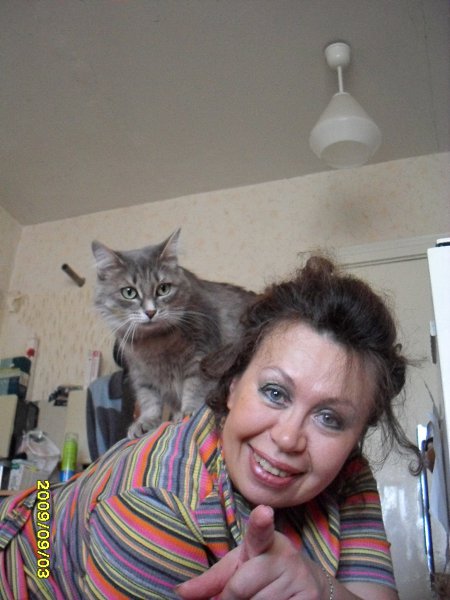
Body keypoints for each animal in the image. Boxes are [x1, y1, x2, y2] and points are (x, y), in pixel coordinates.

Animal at [92, 229, 256, 438]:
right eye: (129, 292)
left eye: (163, 289)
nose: (151, 312)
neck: (154, 344)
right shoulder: (140, 372)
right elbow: (149, 399)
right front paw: (145, 422)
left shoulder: (201, 358)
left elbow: (195, 388)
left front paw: (189, 411)